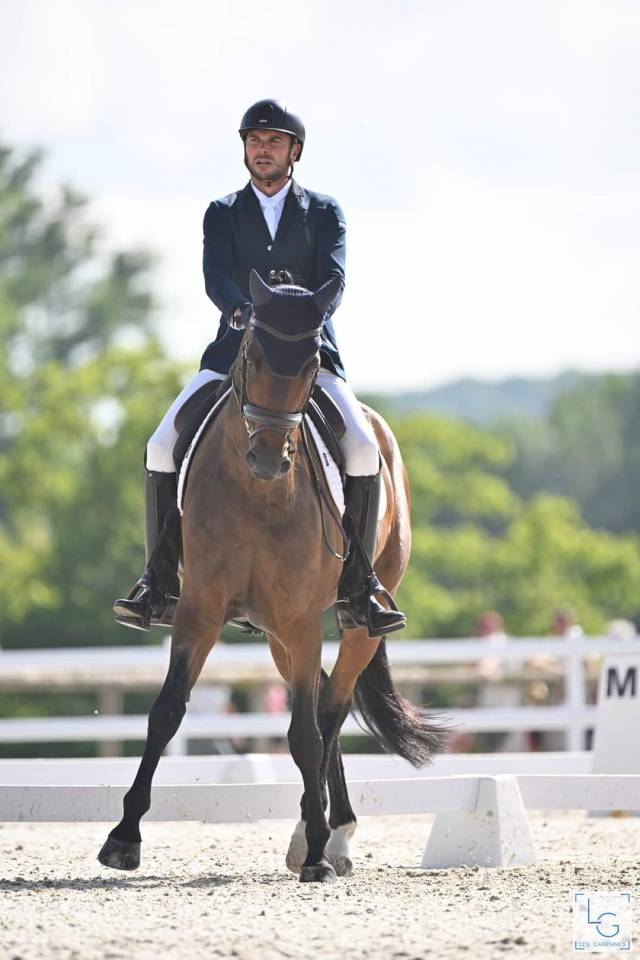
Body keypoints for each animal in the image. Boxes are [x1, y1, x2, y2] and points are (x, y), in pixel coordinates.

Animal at [98, 270, 444, 883]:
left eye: (312, 364)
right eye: (253, 356)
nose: (268, 458)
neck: (258, 495)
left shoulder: (303, 620)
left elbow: (305, 731)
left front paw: (317, 855)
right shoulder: (202, 608)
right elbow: (166, 711)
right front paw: (123, 838)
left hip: (351, 620)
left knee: (330, 708)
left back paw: (329, 838)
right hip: (276, 634)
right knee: (324, 697)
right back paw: (319, 831)